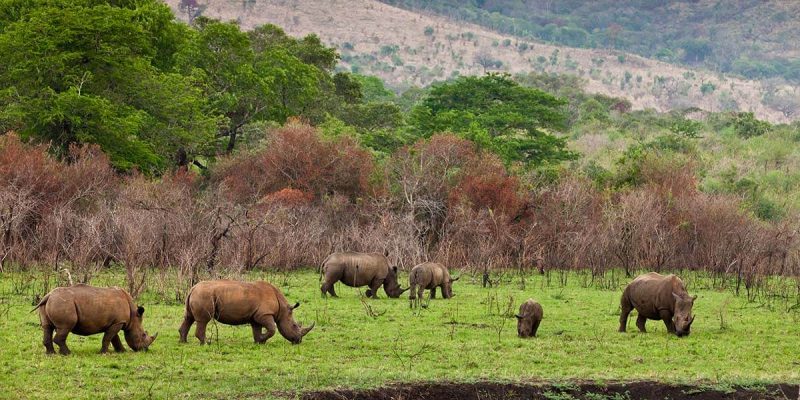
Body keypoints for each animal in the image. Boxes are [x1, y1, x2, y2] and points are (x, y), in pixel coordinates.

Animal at [180, 282, 314, 344]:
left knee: (189, 318)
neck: (283, 309)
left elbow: (256, 329)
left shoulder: (256, 316)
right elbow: (272, 329)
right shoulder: (265, 314)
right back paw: (207, 343)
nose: (298, 341)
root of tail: (193, 288)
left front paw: (259, 341)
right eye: (295, 326)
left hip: (198, 295)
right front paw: (263, 340)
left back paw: (183, 342)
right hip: (204, 295)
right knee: (203, 320)